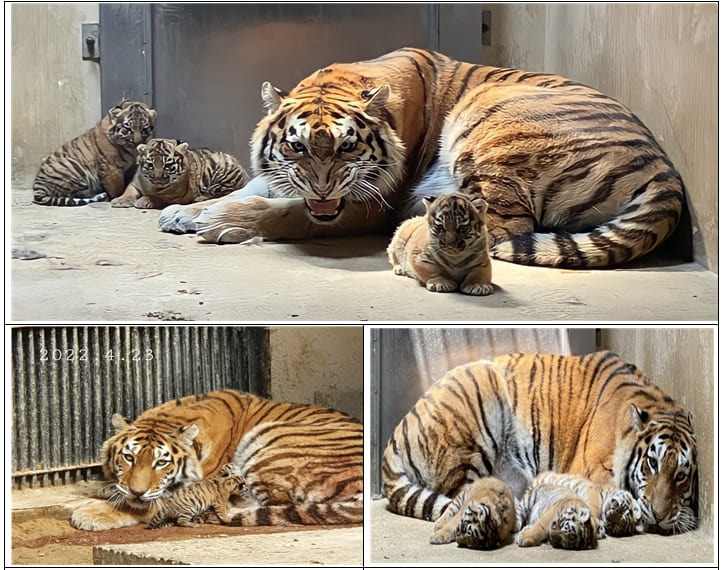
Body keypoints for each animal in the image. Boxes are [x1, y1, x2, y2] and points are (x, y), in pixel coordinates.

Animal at [69, 388, 362, 532]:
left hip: (270, 439)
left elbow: (140, 506)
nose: (137, 491)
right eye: (128, 457)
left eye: (161, 463)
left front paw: (90, 514)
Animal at [161, 46, 688, 266]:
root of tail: (665, 169)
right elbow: (260, 186)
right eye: (296, 145)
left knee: (504, 228)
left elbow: (287, 213)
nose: (323, 187)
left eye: (348, 146)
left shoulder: (369, 203)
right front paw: (185, 211)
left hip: (490, 117)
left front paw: (220, 220)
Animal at [382, 348, 700, 548]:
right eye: (652, 463)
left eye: (682, 475)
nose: (659, 516)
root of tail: (393, 439)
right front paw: (618, 511)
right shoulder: (591, 468)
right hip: (478, 398)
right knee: (464, 493)